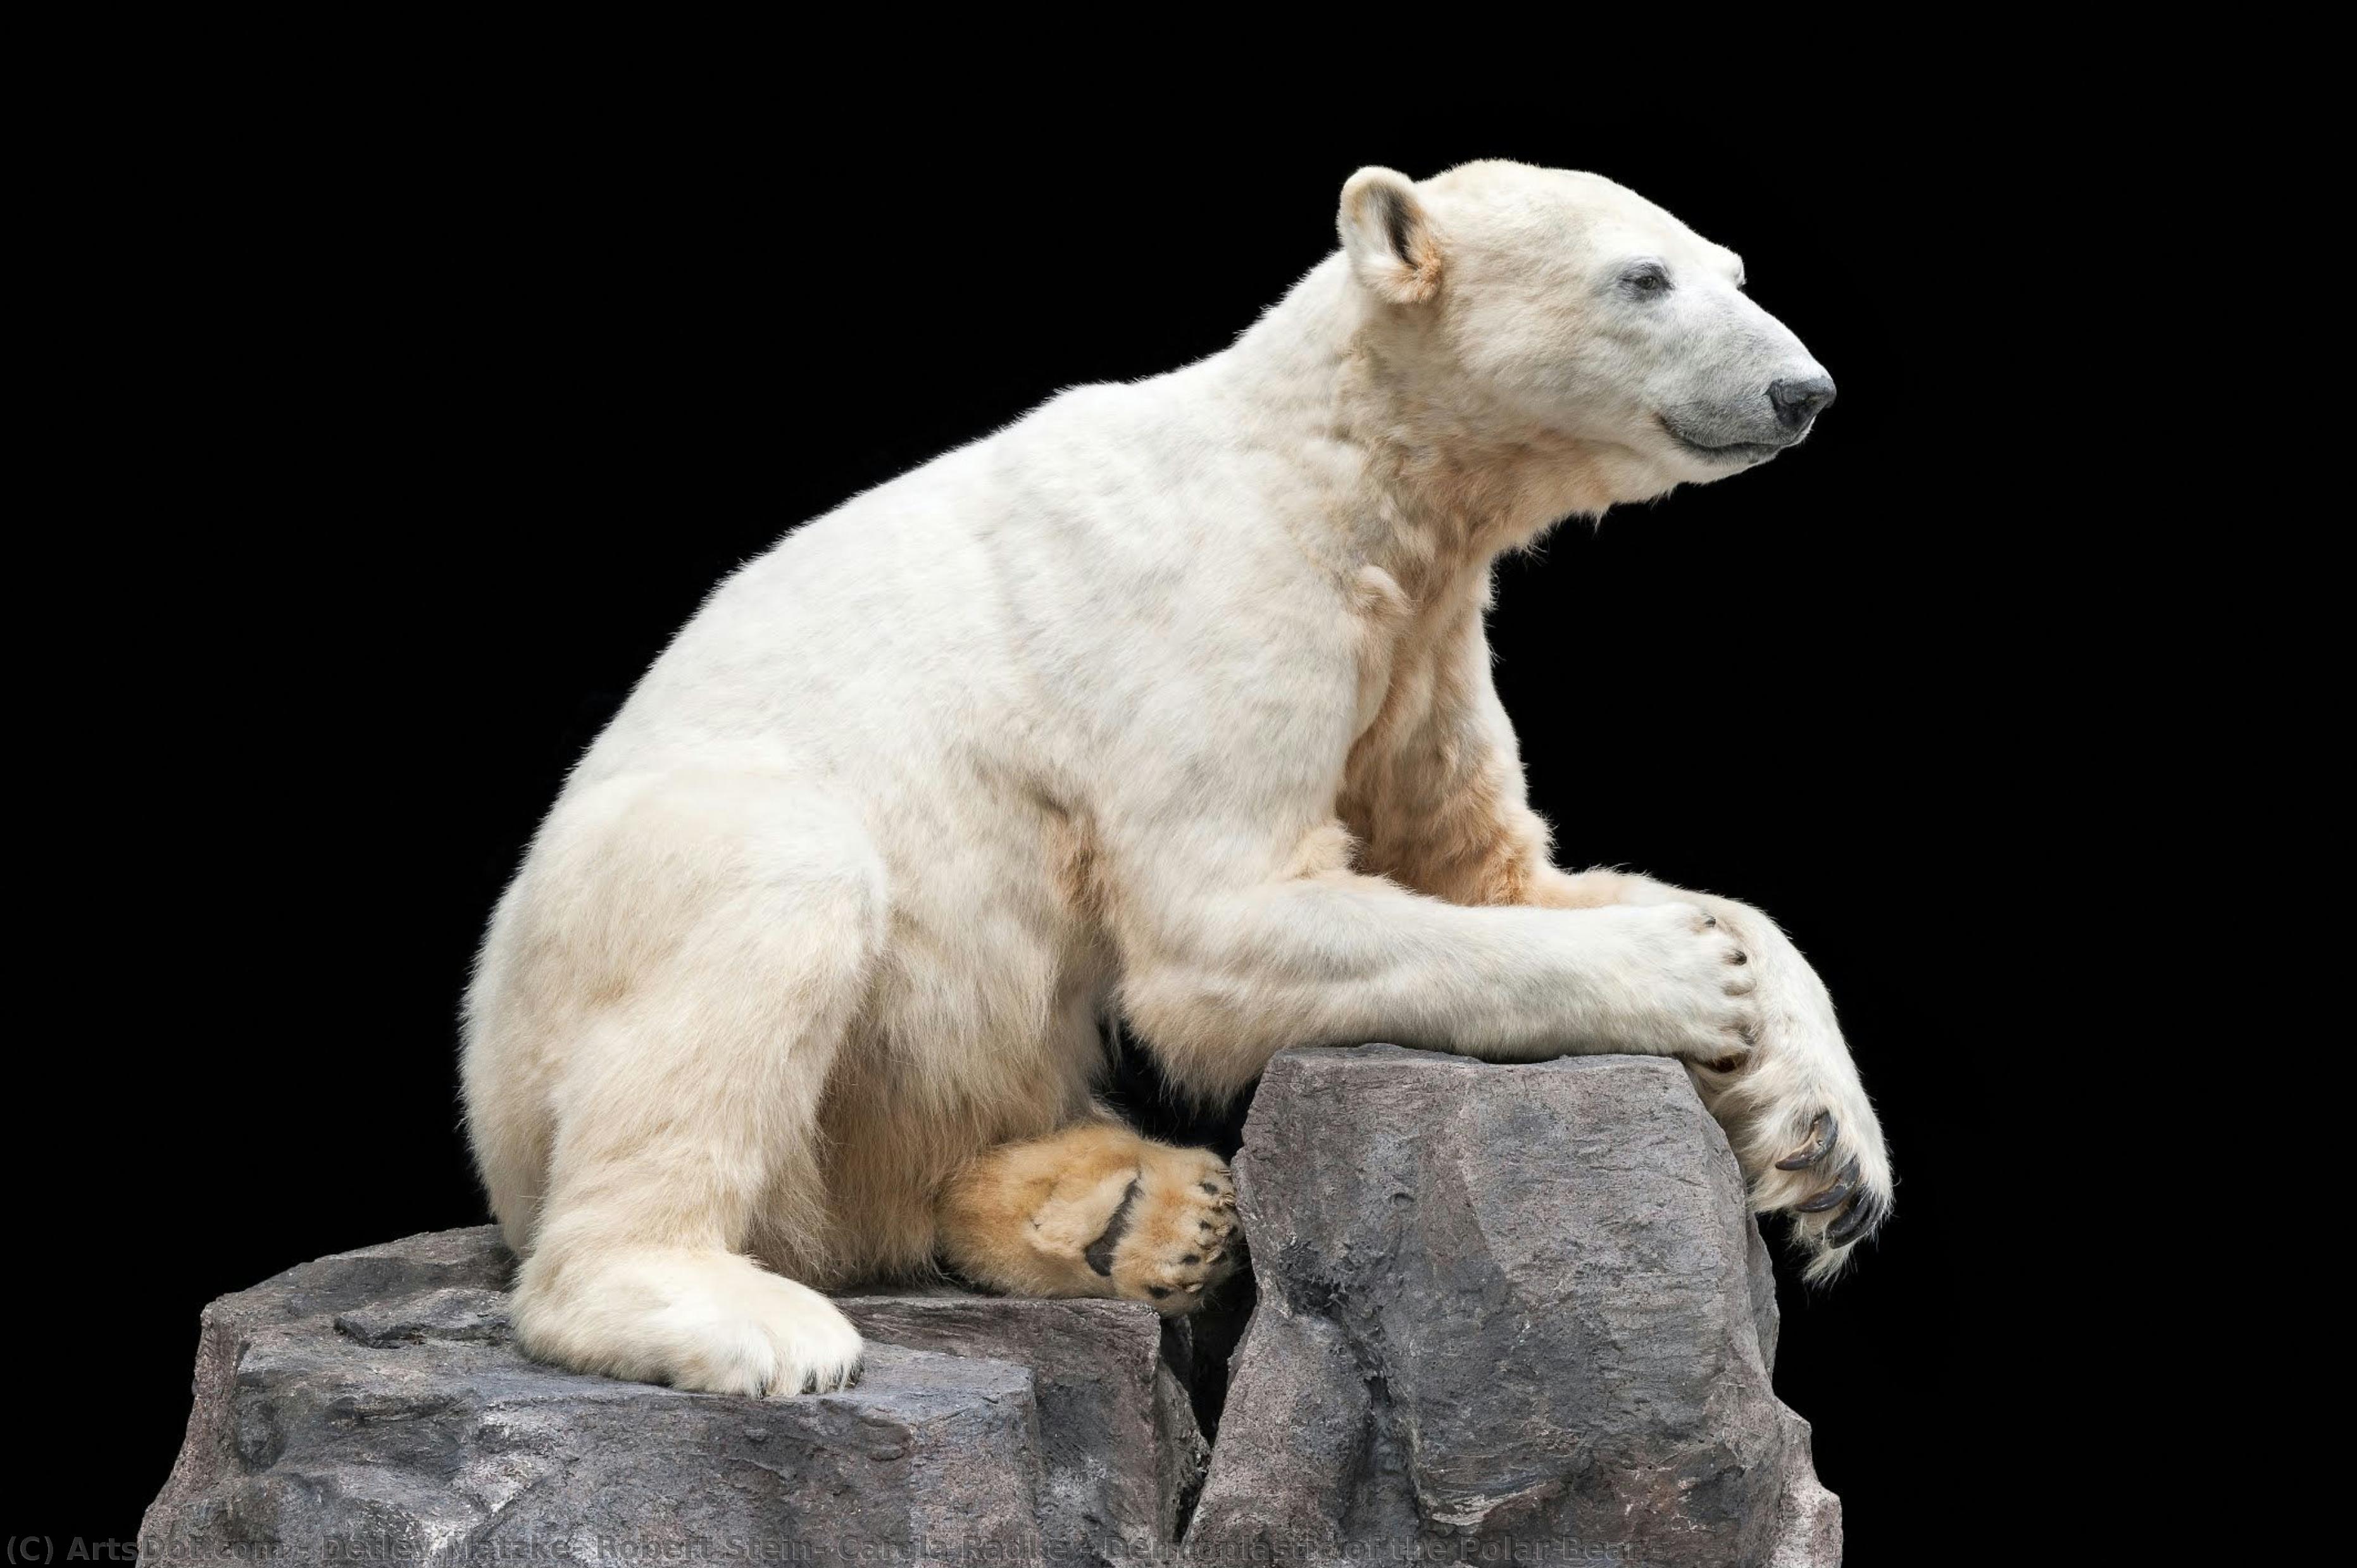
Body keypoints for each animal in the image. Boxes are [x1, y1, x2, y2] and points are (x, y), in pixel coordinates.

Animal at [460, 160, 1889, 1399]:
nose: (1801, 388)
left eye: (1732, 266)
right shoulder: (1225, 607)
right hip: (593, 949)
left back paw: (1127, 1212)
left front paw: (1825, 1146)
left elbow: (1494, 873)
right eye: (1640, 277)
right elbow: (1219, 923)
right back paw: (728, 1310)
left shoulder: (1419, 643)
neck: (1343, 466)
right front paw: (1682, 975)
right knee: (769, 899)